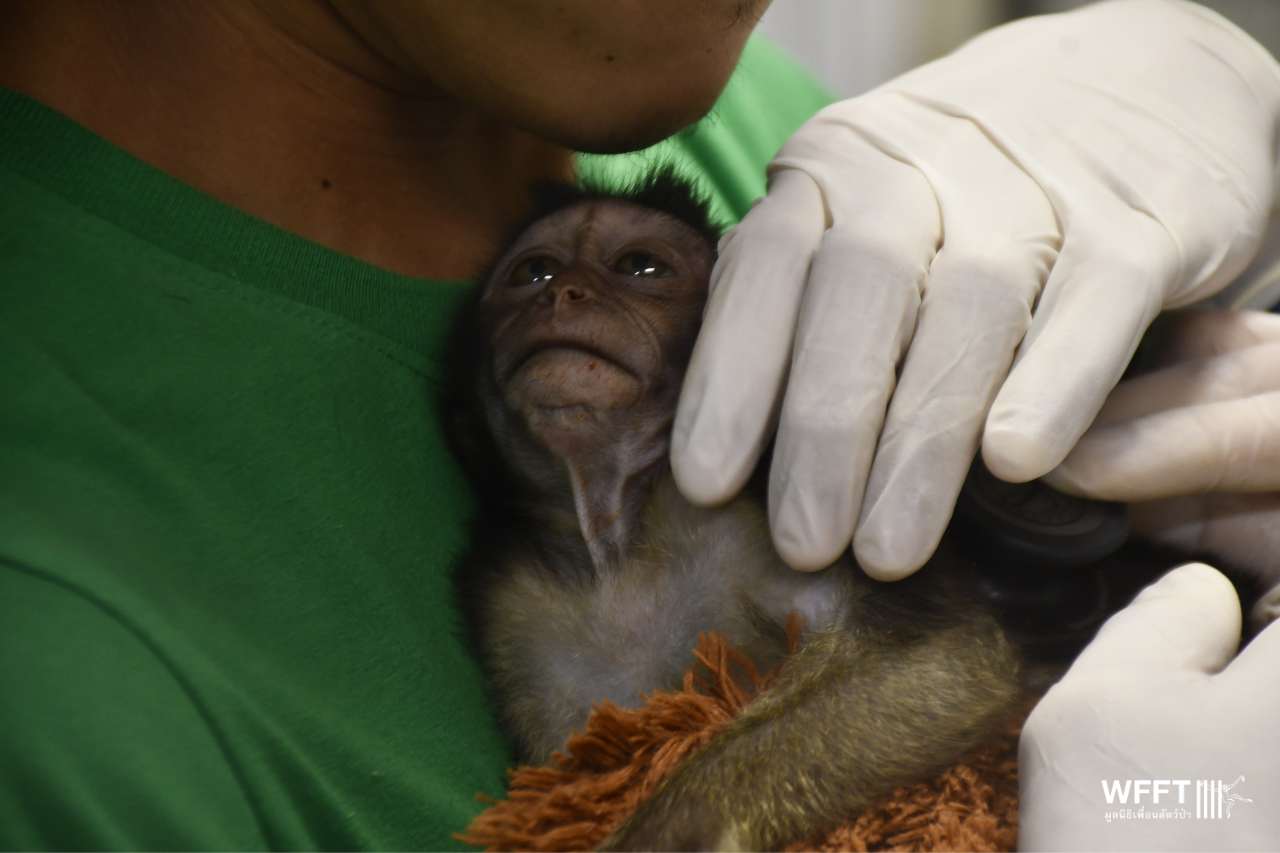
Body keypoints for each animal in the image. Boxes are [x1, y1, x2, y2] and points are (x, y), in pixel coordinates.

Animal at [440, 168, 1034, 851]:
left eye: (639, 266)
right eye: (533, 271)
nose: (563, 293)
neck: (614, 540)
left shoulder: (769, 511)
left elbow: (952, 662)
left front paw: (672, 826)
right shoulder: (519, 614)